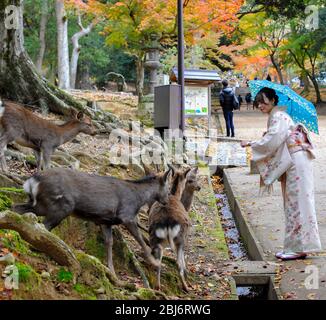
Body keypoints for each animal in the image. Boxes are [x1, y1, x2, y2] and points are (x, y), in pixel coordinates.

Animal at [13, 166, 171, 276]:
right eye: (168, 188)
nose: (167, 201)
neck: (138, 199)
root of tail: (32, 181)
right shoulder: (127, 215)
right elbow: (141, 240)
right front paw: (156, 262)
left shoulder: (106, 221)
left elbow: (109, 243)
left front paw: (112, 272)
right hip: (61, 206)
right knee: (44, 225)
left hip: (39, 204)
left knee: (18, 208)